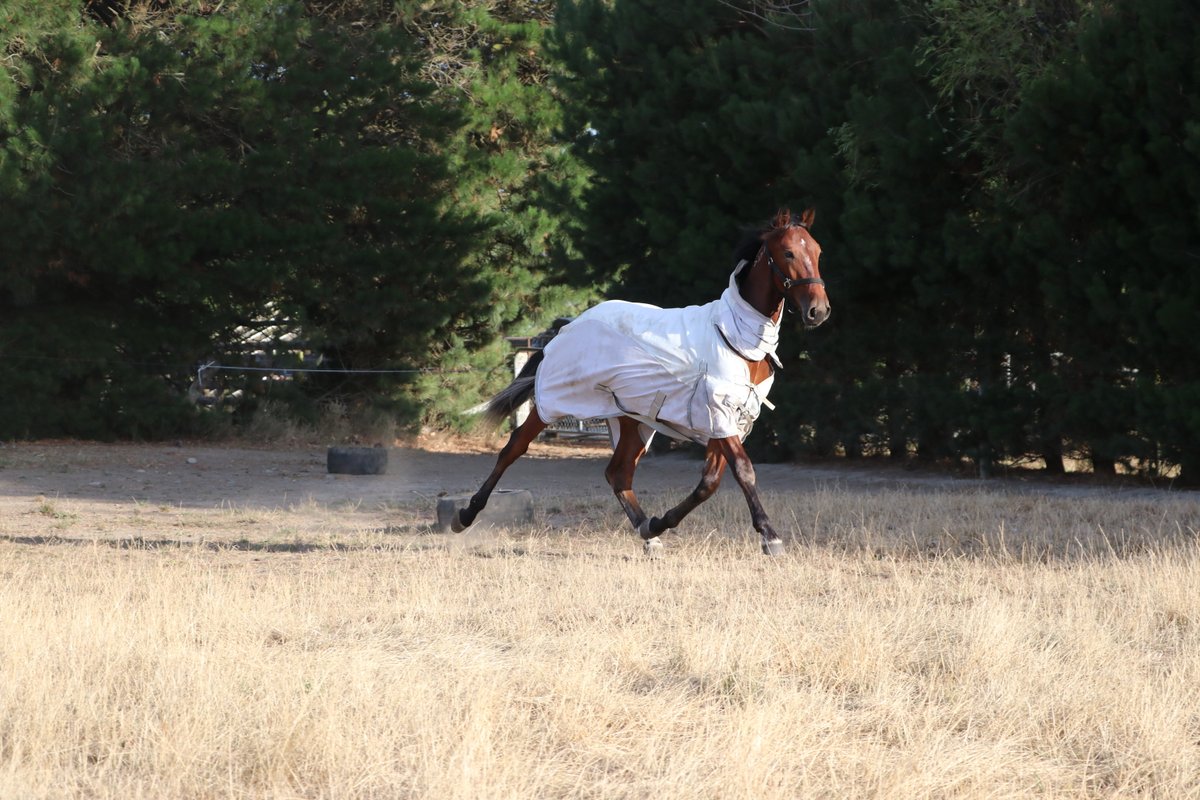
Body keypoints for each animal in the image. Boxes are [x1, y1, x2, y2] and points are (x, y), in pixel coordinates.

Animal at [452, 208, 831, 556]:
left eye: (816, 251)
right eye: (788, 253)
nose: (818, 311)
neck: (737, 339)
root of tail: (568, 326)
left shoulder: (731, 422)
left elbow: (709, 482)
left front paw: (660, 522)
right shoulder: (719, 414)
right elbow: (743, 471)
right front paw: (770, 536)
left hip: (632, 419)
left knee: (618, 474)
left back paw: (649, 533)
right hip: (553, 403)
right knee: (513, 447)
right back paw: (465, 516)